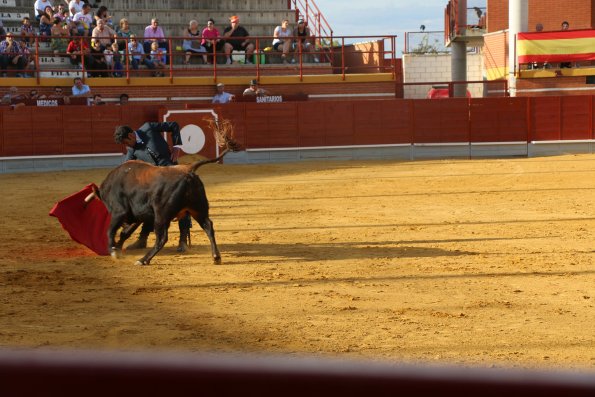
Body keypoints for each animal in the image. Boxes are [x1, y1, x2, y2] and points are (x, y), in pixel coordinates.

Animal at [88, 152, 228, 266]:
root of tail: (187, 169)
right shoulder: (137, 216)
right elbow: (125, 233)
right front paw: (117, 248)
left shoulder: (119, 212)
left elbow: (110, 230)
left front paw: (113, 250)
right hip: (198, 210)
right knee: (208, 227)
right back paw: (216, 257)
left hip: (161, 215)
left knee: (162, 238)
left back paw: (143, 260)